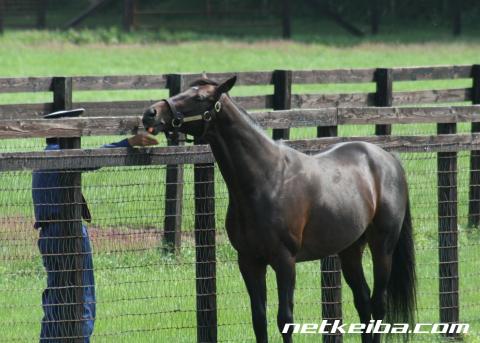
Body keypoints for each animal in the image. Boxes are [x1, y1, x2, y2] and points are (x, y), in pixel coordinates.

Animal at [142, 76, 416, 342]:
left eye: (199, 97)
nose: (150, 113)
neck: (268, 179)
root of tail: (387, 159)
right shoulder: (249, 261)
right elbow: (259, 319)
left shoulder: (285, 261)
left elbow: (285, 320)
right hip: (349, 250)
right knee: (363, 302)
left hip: (382, 248)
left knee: (377, 303)